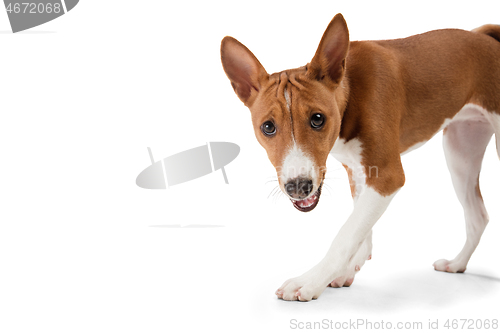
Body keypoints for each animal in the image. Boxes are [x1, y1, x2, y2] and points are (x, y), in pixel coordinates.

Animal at [220, 13, 500, 300]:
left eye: (317, 118)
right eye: (268, 127)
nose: (298, 187)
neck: (351, 93)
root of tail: (487, 39)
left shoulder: (388, 176)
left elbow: (346, 233)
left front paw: (311, 280)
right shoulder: (358, 172)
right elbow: (360, 229)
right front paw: (347, 269)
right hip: (460, 155)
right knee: (478, 217)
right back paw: (457, 264)